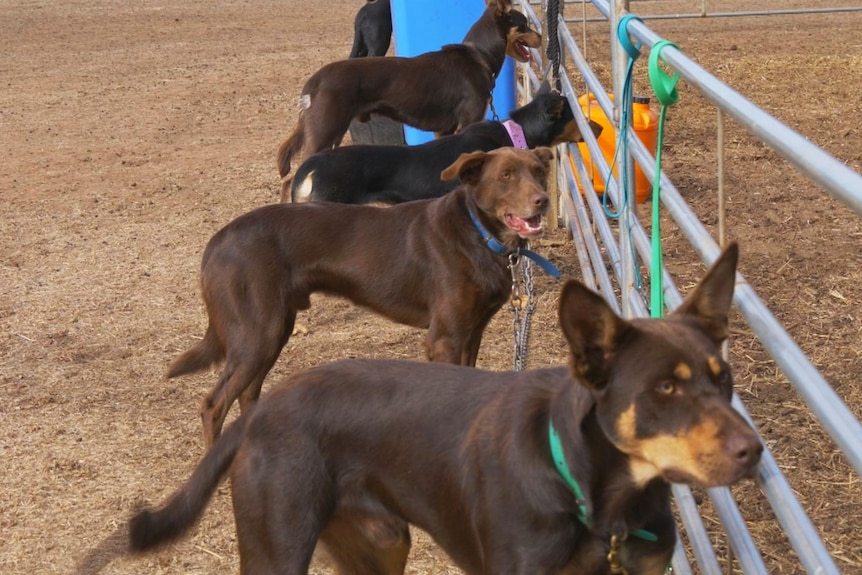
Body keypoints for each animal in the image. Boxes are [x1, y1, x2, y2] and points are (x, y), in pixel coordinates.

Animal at [76, 242, 764, 575]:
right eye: (664, 389)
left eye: (723, 378)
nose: (753, 452)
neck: (601, 504)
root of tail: (265, 411)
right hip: (279, 545)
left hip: (380, 545)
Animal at [170, 147, 560, 446]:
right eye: (506, 175)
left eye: (539, 172)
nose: (543, 201)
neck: (478, 234)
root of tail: (217, 242)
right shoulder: (444, 338)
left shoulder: (471, 332)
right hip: (258, 335)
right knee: (214, 404)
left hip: (272, 332)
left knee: (248, 394)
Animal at [276, 0, 544, 182]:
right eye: (524, 25)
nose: (542, 37)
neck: (478, 55)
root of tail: (316, 79)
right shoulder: (468, 121)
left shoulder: (444, 129)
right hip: (325, 129)